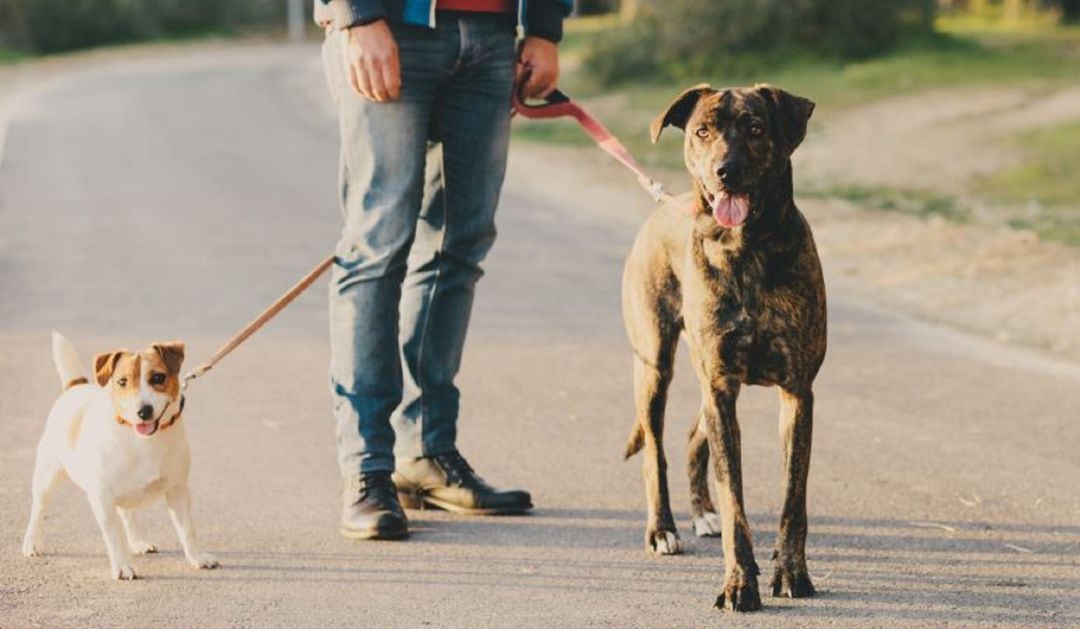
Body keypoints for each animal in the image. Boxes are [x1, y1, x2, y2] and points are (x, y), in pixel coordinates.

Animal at [23, 335, 217, 583]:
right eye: (122, 381)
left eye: (158, 378)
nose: (143, 411)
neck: (142, 441)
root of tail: (76, 386)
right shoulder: (102, 498)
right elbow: (114, 535)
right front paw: (123, 566)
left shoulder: (178, 490)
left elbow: (187, 529)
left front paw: (197, 558)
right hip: (47, 477)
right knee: (38, 508)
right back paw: (32, 542)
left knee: (128, 513)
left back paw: (137, 542)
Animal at [622, 83, 820, 609]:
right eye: (702, 131)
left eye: (755, 127)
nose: (724, 171)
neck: (745, 247)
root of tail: (664, 204)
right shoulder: (720, 387)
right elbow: (737, 504)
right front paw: (738, 582)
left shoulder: (797, 392)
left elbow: (793, 499)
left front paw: (791, 571)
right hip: (656, 365)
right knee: (655, 452)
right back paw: (663, 529)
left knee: (696, 438)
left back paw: (701, 513)